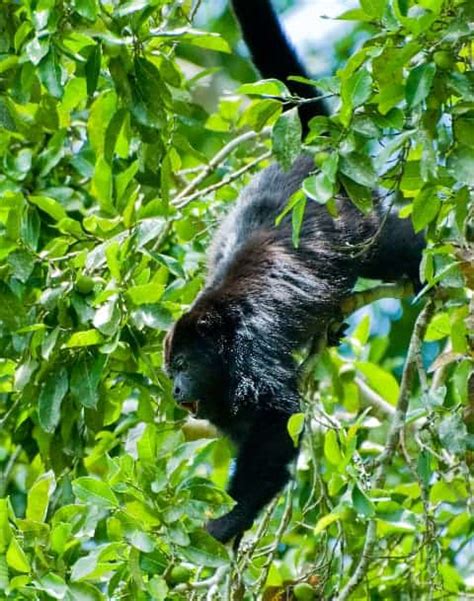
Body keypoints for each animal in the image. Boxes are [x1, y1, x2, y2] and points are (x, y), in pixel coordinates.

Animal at [164, 0, 426, 544]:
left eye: (182, 366)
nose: (176, 391)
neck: (220, 332)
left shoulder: (252, 343)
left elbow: (273, 422)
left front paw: (229, 520)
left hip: (356, 217)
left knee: (391, 246)